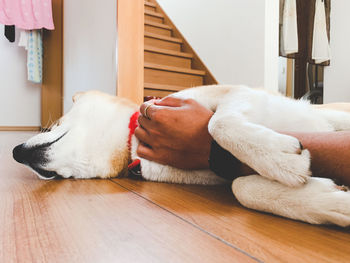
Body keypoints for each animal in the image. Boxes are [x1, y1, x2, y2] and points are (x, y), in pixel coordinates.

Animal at [12, 85, 350, 228]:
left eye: (55, 124)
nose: (15, 152)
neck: (132, 143)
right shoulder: (227, 176)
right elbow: (242, 187)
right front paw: (332, 201)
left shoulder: (235, 93)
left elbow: (218, 124)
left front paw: (280, 158)